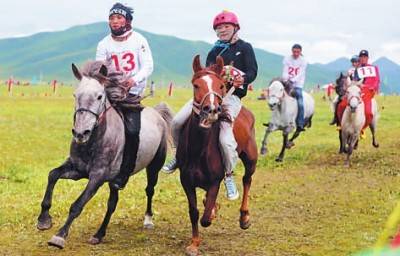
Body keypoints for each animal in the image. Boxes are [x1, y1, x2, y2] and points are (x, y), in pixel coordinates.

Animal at [35, 61, 171, 249]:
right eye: (75, 95)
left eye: (100, 96)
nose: (81, 133)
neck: (93, 141)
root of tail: (158, 114)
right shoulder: (77, 170)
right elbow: (52, 175)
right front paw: (44, 220)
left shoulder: (97, 176)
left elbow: (77, 205)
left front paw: (59, 236)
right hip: (114, 181)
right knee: (112, 204)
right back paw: (99, 235)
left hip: (154, 167)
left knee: (149, 190)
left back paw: (148, 220)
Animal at [177, 55, 258, 255]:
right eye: (196, 85)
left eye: (221, 85)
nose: (211, 110)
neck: (198, 150)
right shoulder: (186, 181)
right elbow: (194, 212)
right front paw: (194, 243)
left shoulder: (215, 180)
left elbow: (205, 218)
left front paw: (211, 213)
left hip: (251, 159)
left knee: (247, 180)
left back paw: (244, 217)